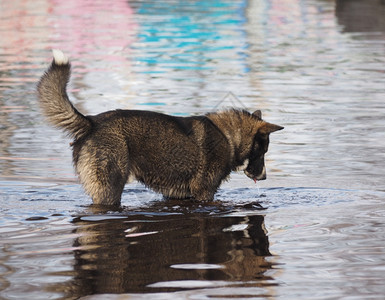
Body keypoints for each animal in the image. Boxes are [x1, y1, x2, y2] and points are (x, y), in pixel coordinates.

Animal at [37, 50, 282, 206]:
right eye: (264, 151)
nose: (264, 178)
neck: (228, 136)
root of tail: (91, 121)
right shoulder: (204, 193)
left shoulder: (178, 195)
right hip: (109, 189)